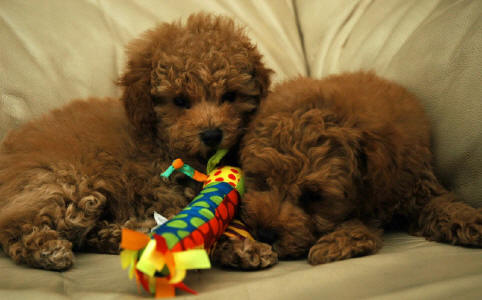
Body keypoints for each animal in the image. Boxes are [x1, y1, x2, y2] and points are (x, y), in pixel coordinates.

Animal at [0, 14, 274, 270]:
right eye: (180, 101)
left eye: (230, 96)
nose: (211, 135)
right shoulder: (162, 193)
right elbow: (198, 224)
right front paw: (242, 248)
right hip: (61, 183)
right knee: (14, 223)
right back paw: (48, 249)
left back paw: (120, 234)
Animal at [241, 72, 482, 264]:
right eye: (263, 181)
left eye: (313, 196)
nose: (265, 233)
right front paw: (341, 241)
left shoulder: (415, 185)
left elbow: (444, 205)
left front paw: (471, 220)